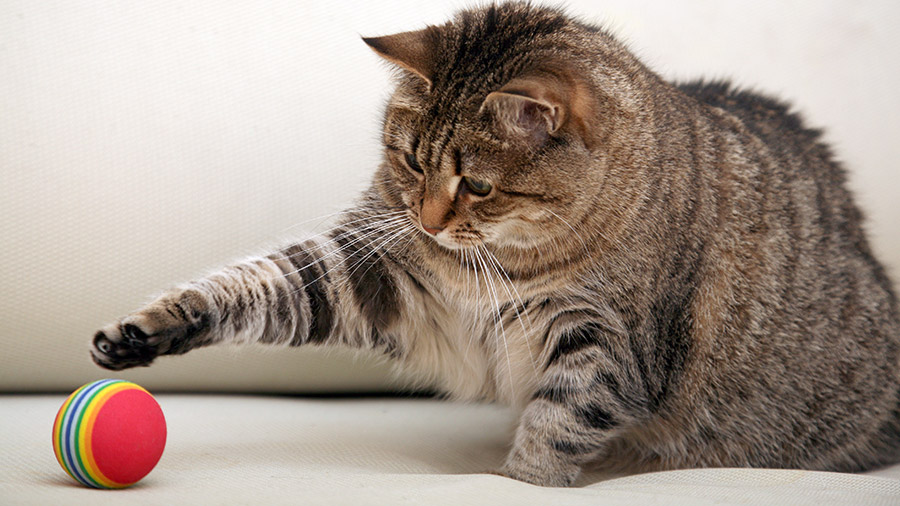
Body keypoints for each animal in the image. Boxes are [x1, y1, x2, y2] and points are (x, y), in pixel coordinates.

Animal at [91, 2, 900, 486]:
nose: (427, 219)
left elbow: (558, 424)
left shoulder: (602, 343)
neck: (502, 257)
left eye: (477, 184)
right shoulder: (379, 272)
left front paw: (518, 482)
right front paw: (150, 328)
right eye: (410, 160)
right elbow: (257, 285)